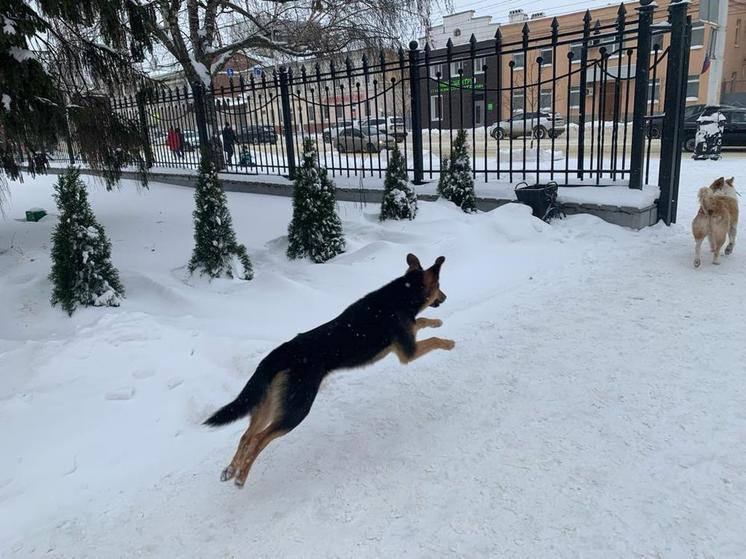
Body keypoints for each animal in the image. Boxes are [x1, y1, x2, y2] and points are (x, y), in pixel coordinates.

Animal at [201, 253, 454, 486]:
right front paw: (449, 343)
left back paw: (231, 470)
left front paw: (436, 322)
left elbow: (421, 322)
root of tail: (282, 352)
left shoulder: (405, 339)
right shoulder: (408, 352)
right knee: (259, 439)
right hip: (296, 408)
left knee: (246, 435)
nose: (445, 297)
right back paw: (241, 476)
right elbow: (433, 339)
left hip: (269, 402)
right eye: (439, 287)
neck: (402, 294)